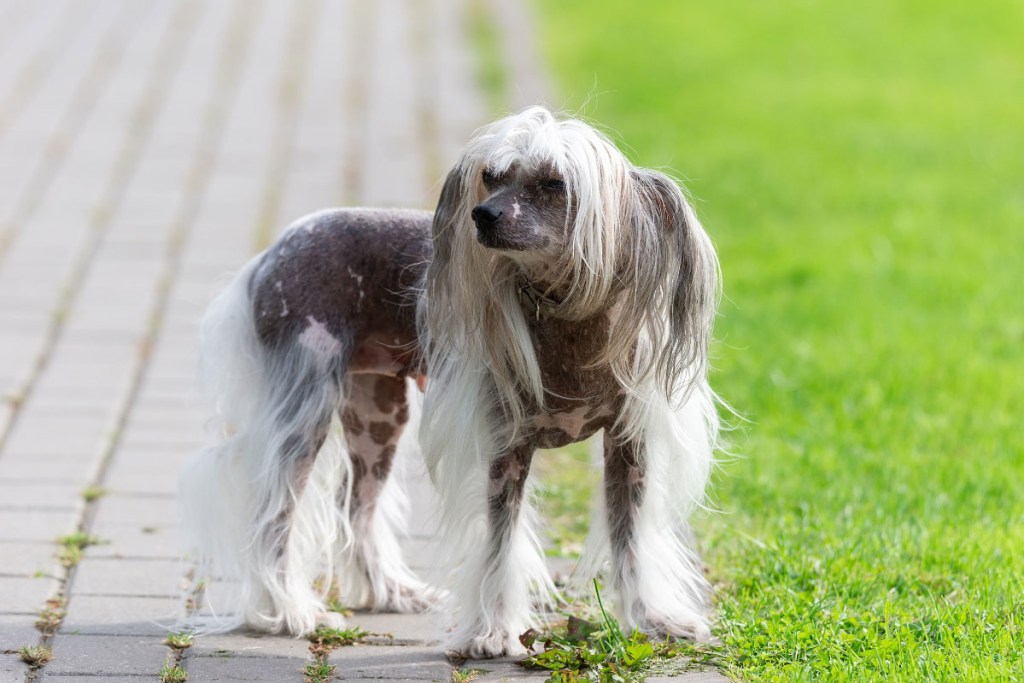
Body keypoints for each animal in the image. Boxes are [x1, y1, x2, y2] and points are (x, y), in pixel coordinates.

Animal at [178, 107, 720, 655]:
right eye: (493, 177)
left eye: (554, 183)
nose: (482, 215)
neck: (568, 318)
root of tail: (269, 255)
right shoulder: (507, 446)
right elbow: (500, 545)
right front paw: (493, 633)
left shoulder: (629, 449)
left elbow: (631, 540)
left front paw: (651, 619)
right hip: (306, 408)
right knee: (274, 515)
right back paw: (287, 612)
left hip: (378, 415)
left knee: (356, 508)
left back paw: (389, 591)